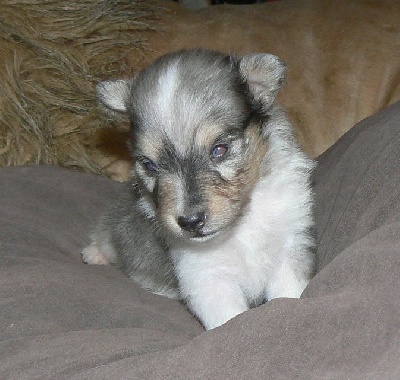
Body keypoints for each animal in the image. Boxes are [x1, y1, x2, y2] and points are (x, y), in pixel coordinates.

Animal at [83, 49, 316, 330]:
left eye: (219, 149)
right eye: (149, 165)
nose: (190, 222)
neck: (240, 224)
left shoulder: (288, 248)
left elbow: (289, 294)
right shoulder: (207, 276)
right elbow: (230, 319)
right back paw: (94, 253)